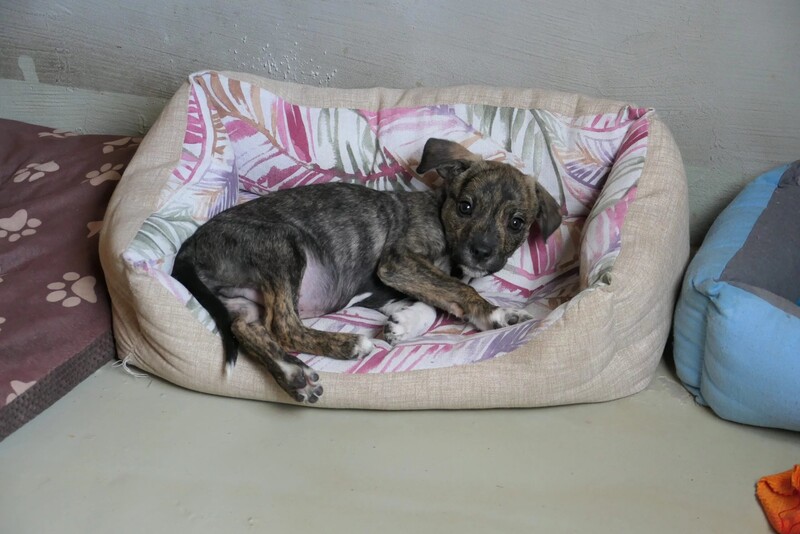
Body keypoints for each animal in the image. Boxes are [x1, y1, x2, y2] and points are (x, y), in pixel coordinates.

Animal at [172, 138, 562, 403]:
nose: (481, 252)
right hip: (282, 245)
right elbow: (458, 289)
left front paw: (404, 325)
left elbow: (436, 300)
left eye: (516, 223)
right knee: (284, 325)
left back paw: (294, 373)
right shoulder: (397, 262)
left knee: (246, 328)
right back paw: (349, 346)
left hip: (244, 301)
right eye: (465, 207)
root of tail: (188, 248)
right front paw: (497, 313)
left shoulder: (388, 287)